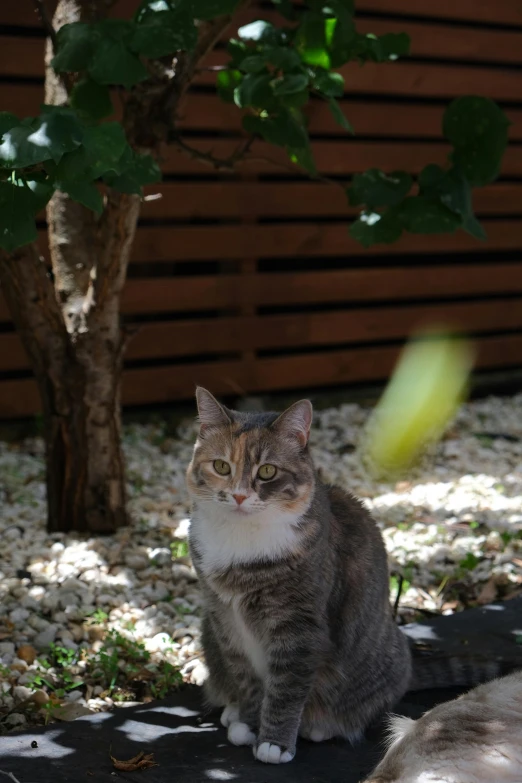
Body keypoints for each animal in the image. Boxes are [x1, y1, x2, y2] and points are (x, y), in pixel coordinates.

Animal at [186, 388, 410, 768]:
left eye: (267, 471)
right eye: (220, 466)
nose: (240, 495)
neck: (242, 539)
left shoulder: (299, 626)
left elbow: (287, 689)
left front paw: (273, 743)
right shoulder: (225, 619)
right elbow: (245, 676)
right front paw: (248, 722)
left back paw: (319, 726)